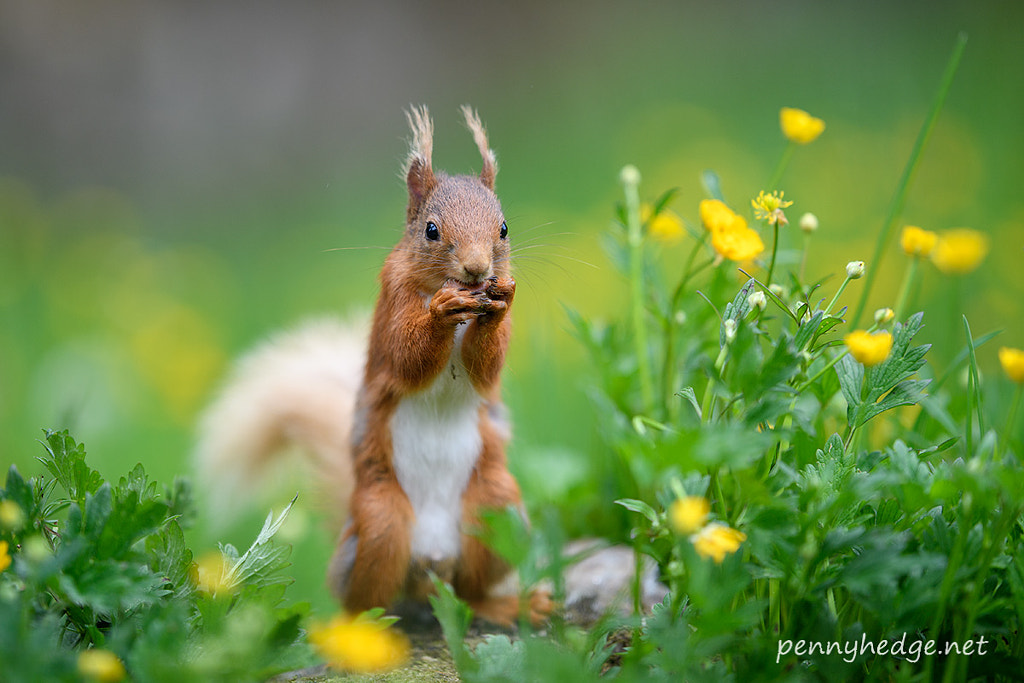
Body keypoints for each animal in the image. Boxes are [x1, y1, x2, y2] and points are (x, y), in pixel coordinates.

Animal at [192, 105, 544, 626]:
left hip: (495, 513)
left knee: (469, 592)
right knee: (367, 598)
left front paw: (499, 302)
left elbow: (486, 367)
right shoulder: (391, 306)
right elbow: (405, 356)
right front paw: (440, 311)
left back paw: (511, 605)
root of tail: (432, 565)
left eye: (503, 229)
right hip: (381, 525)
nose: (478, 270)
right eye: (431, 230)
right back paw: (364, 630)